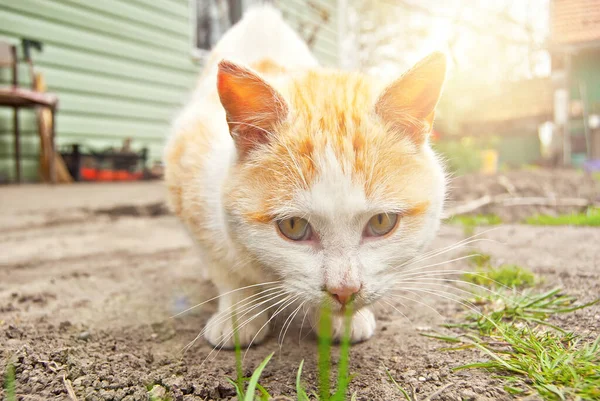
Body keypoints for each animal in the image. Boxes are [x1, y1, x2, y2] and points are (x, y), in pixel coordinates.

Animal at [164, 4, 446, 348]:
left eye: (382, 222)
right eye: (293, 227)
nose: (344, 290)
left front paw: (342, 321)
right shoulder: (186, 168)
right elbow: (224, 266)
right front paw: (239, 312)